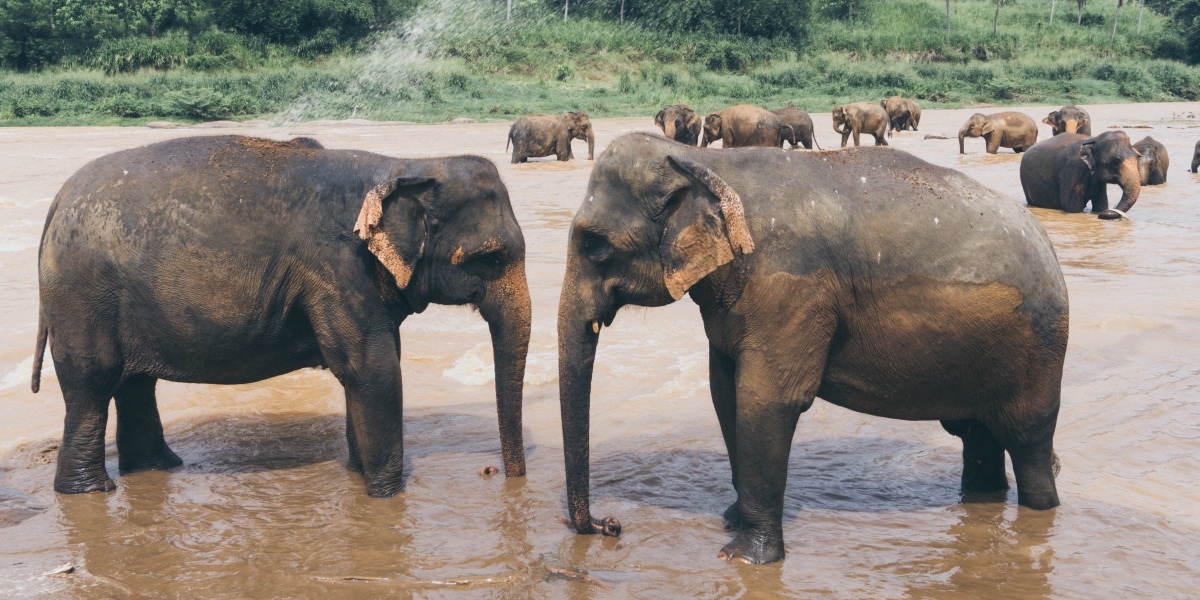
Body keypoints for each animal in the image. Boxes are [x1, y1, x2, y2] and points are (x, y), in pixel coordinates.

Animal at [31, 136, 530, 496]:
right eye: (490, 258)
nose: (500, 476)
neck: (405, 165)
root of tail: (56, 201)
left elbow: (372, 367)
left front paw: (357, 474)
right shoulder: (336, 266)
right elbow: (373, 369)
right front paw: (387, 496)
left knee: (135, 384)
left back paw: (158, 467)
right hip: (80, 296)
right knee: (92, 383)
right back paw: (89, 491)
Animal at [559, 133, 1070, 564]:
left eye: (594, 244)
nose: (611, 525)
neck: (704, 161)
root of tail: (1047, 243)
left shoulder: (792, 285)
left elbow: (765, 400)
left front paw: (744, 558)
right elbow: (725, 392)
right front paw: (731, 520)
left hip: (1040, 348)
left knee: (1028, 441)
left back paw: (1040, 509)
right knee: (978, 436)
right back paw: (981, 501)